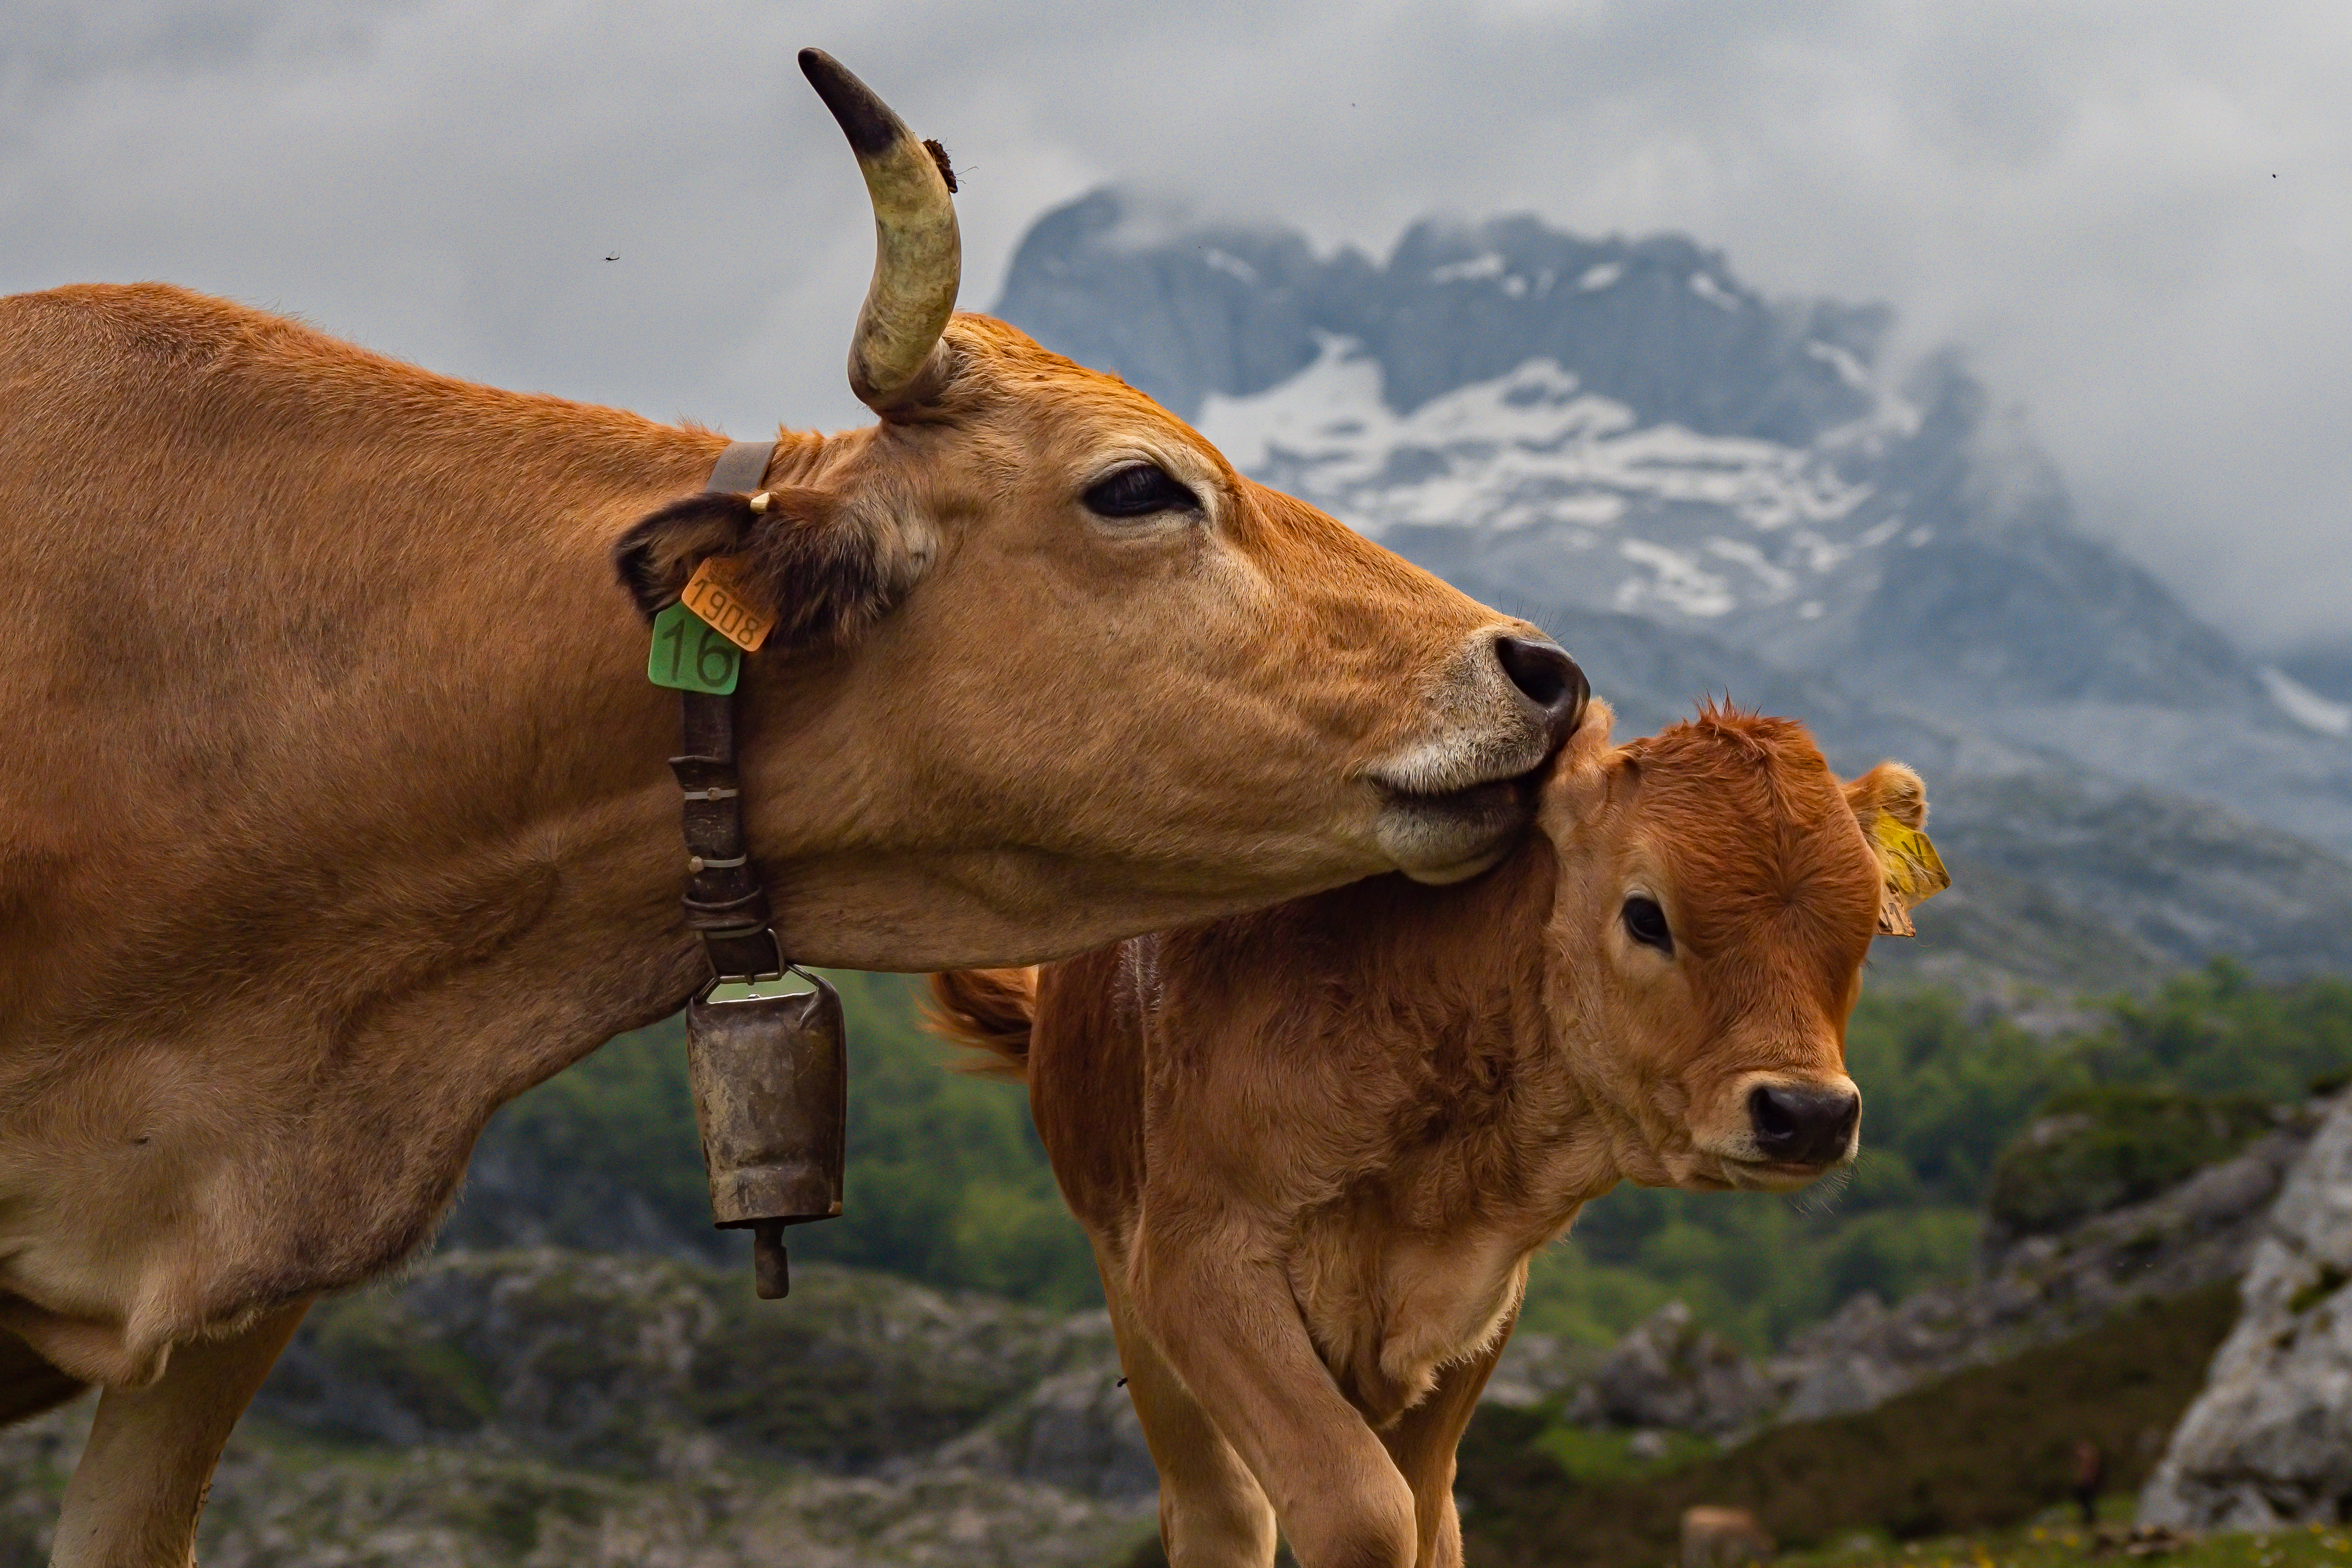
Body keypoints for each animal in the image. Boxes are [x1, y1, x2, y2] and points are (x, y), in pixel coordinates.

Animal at [927, 705, 1938, 1568]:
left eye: (1863, 929)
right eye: (1647, 914)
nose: (1808, 1112)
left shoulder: (1478, 1303)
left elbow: (1420, 1511)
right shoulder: (1197, 1261)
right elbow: (1360, 1511)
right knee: (1222, 1511)